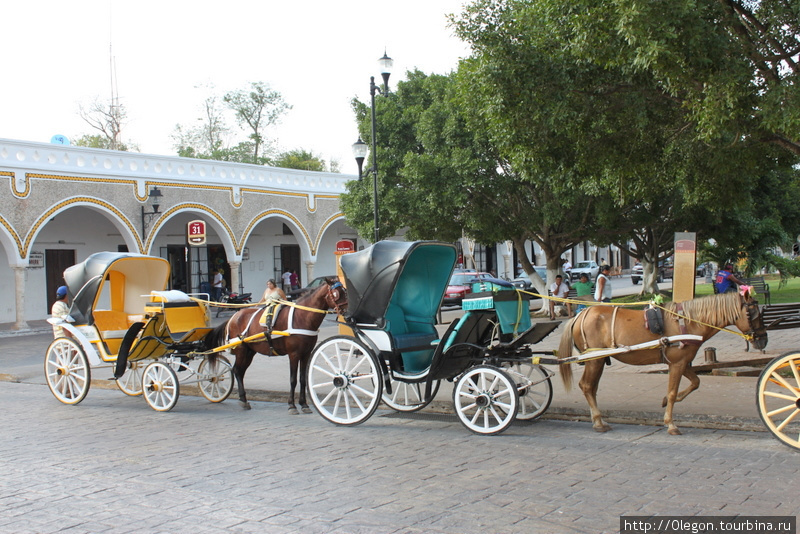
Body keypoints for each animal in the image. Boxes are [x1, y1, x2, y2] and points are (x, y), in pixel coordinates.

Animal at [205, 280, 346, 414]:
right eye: (336, 294)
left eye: (344, 290)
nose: (348, 312)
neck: (301, 317)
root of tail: (233, 317)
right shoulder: (293, 354)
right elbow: (293, 379)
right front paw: (292, 405)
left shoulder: (306, 354)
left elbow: (303, 379)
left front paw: (304, 404)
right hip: (241, 350)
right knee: (236, 370)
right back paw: (242, 399)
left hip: (249, 352)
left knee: (239, 371)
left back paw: (243, 399)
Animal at [556, 292, 768, 438]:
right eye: (752, 313)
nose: (763, 339)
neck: (687, 322)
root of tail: (579, 315)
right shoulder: (677, 363)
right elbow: (674, 391)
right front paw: (671, 423)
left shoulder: (682, 362)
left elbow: (695, 383)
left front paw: (666, 401)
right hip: (595, 360)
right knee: (587, 386)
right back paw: (598, 422)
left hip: (598, 360)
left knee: (591, 388)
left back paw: (598, 419)